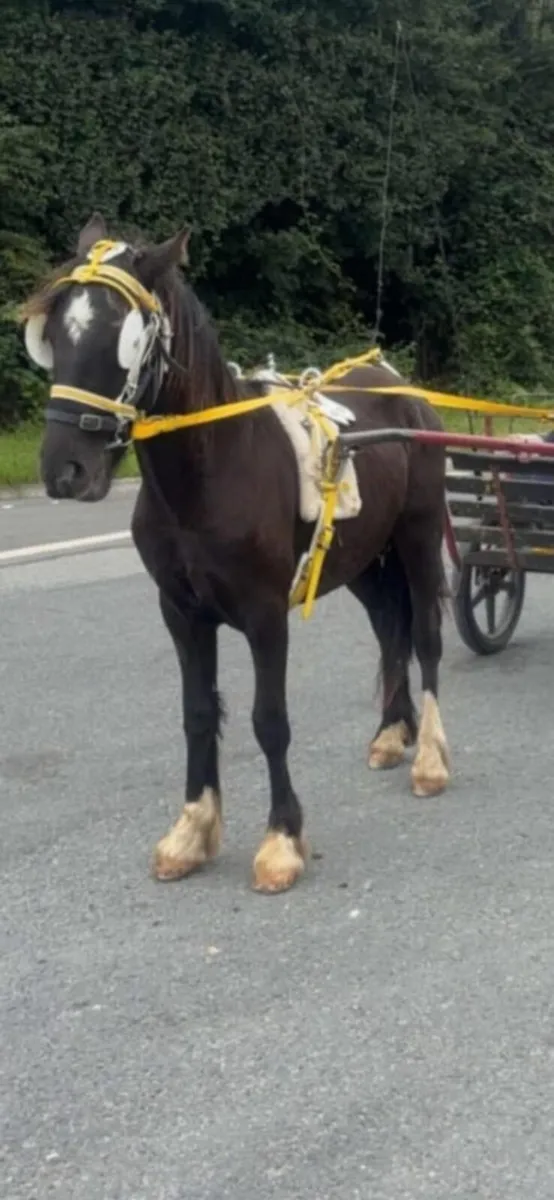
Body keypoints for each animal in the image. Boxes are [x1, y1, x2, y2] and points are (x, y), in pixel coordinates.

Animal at [22, 212, 450, 894]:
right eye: (55, 330)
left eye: (126, 335)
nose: (66, 470)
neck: (214, 468)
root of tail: (402, 389)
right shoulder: (181, 612)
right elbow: (198, 713)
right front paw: (191, 832)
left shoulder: (265, 615)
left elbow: (268, 720)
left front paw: (281, 842)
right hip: (359, 558)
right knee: (391, 628)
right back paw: (390, 734)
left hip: (417, 536)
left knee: (427, 637)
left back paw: (430, 760)